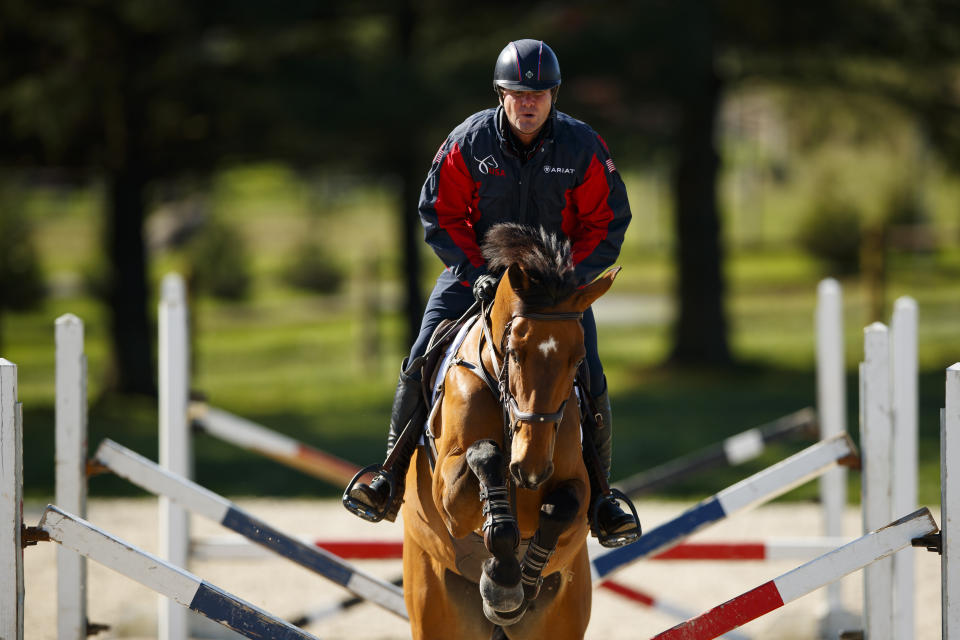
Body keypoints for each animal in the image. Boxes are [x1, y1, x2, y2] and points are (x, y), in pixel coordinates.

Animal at [400, 222, 620, 636]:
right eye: (515, 353)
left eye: (578, 360)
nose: (530, 468)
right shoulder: (449, 496)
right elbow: (485, 455)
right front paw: (502, 579)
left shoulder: (578, 485)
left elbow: (562, 505)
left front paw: (524, 580)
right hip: (433, 599)